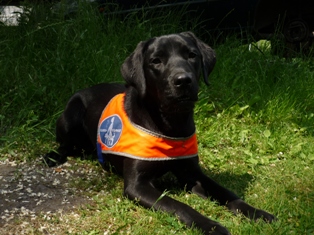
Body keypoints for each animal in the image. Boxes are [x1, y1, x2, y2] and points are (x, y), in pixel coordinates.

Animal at [44, 32, 274, 234]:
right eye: (156, 61)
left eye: (192, 55)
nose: (183, 80)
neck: (170, 124)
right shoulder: (137, 186)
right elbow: (179, 205)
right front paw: (210, 225)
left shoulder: (192, 173)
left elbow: (225, 192)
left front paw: (256, 212)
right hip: (71, 115)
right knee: (65, 144)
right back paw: (53, 156)